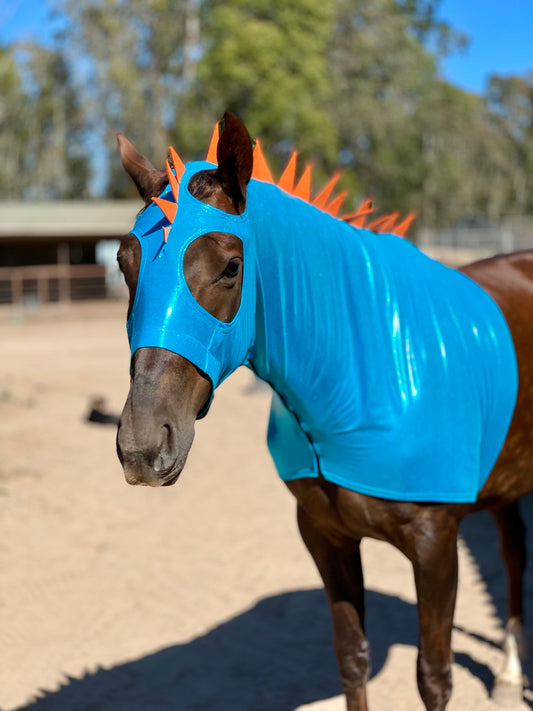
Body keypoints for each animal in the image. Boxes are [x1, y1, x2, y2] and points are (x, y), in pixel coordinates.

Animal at [115, 112, 533, 711]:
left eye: (231, 267)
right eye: (124, 263)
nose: (143, 446)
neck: (365, 370)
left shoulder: (436, 546)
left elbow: (434, 676)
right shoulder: (326, 536)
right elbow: (352, 658)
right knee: (514, 549)